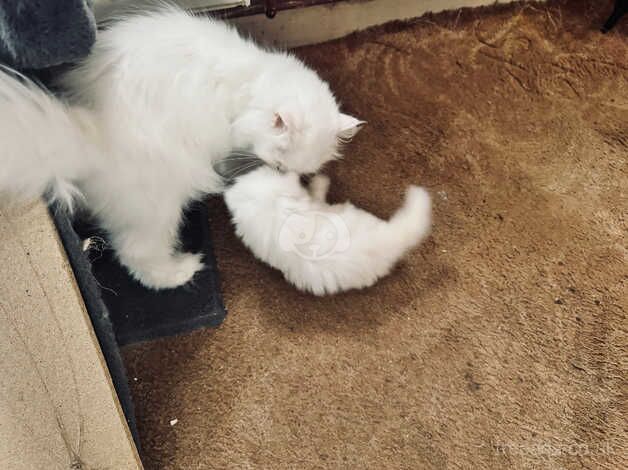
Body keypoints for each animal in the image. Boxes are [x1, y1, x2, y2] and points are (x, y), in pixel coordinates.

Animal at [0, 6, 364, 290]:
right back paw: (182, 271)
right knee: (136, 254)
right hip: (161, 205)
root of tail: (94, 135)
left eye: (295, 171)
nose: (284, 178)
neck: (250, 82)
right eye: (278, 165)